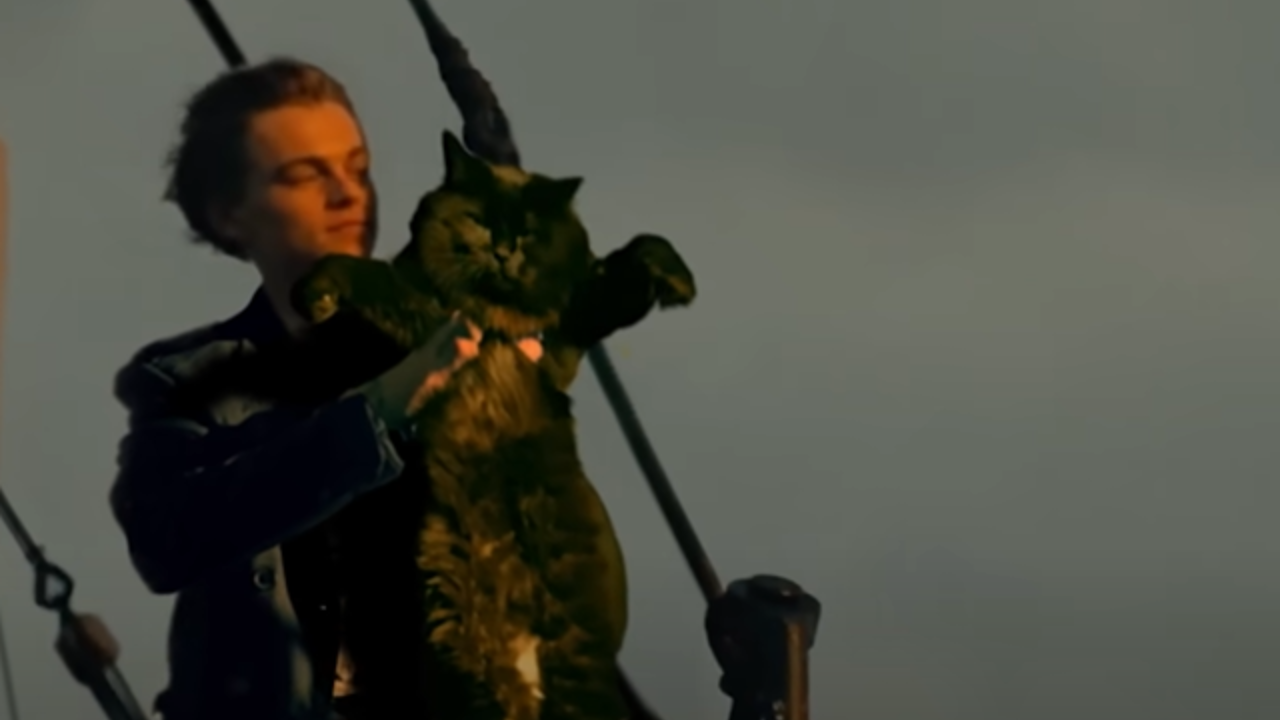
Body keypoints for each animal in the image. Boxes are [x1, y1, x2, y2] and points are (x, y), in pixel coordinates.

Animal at [180, 129, 695, 720]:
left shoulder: (567, 330)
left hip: (575, 670)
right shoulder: (420, 312)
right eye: (479, 220)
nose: (504, 250)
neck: (490, 309)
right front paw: (315, 294)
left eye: (528, 232)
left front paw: (676, 280)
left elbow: (639, 249)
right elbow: (365, 273)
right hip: (462, 665)